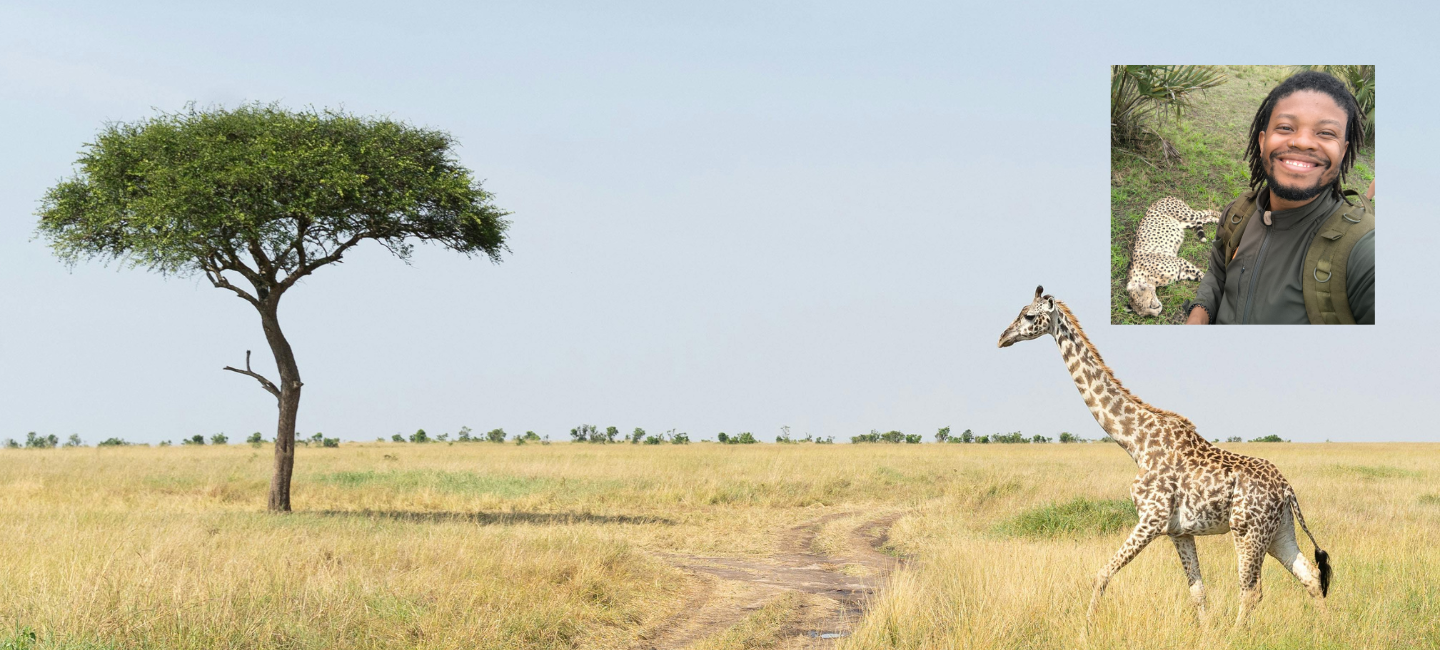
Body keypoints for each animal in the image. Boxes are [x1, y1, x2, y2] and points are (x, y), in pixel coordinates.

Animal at [997, 286, 1330, 626]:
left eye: (1029, 316)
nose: (1002, 338)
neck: (1136, 442)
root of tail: (1287, 489)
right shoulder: (1178, 531)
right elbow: (1198, 592)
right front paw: (1206, 633)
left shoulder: (1151, 519)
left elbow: (1101, 574)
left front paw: (1084, 629)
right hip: (1279, 531)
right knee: (1310, 577)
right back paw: (1324, 630)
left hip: (1248, 530)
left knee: (1252, 591)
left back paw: (1239, 633)